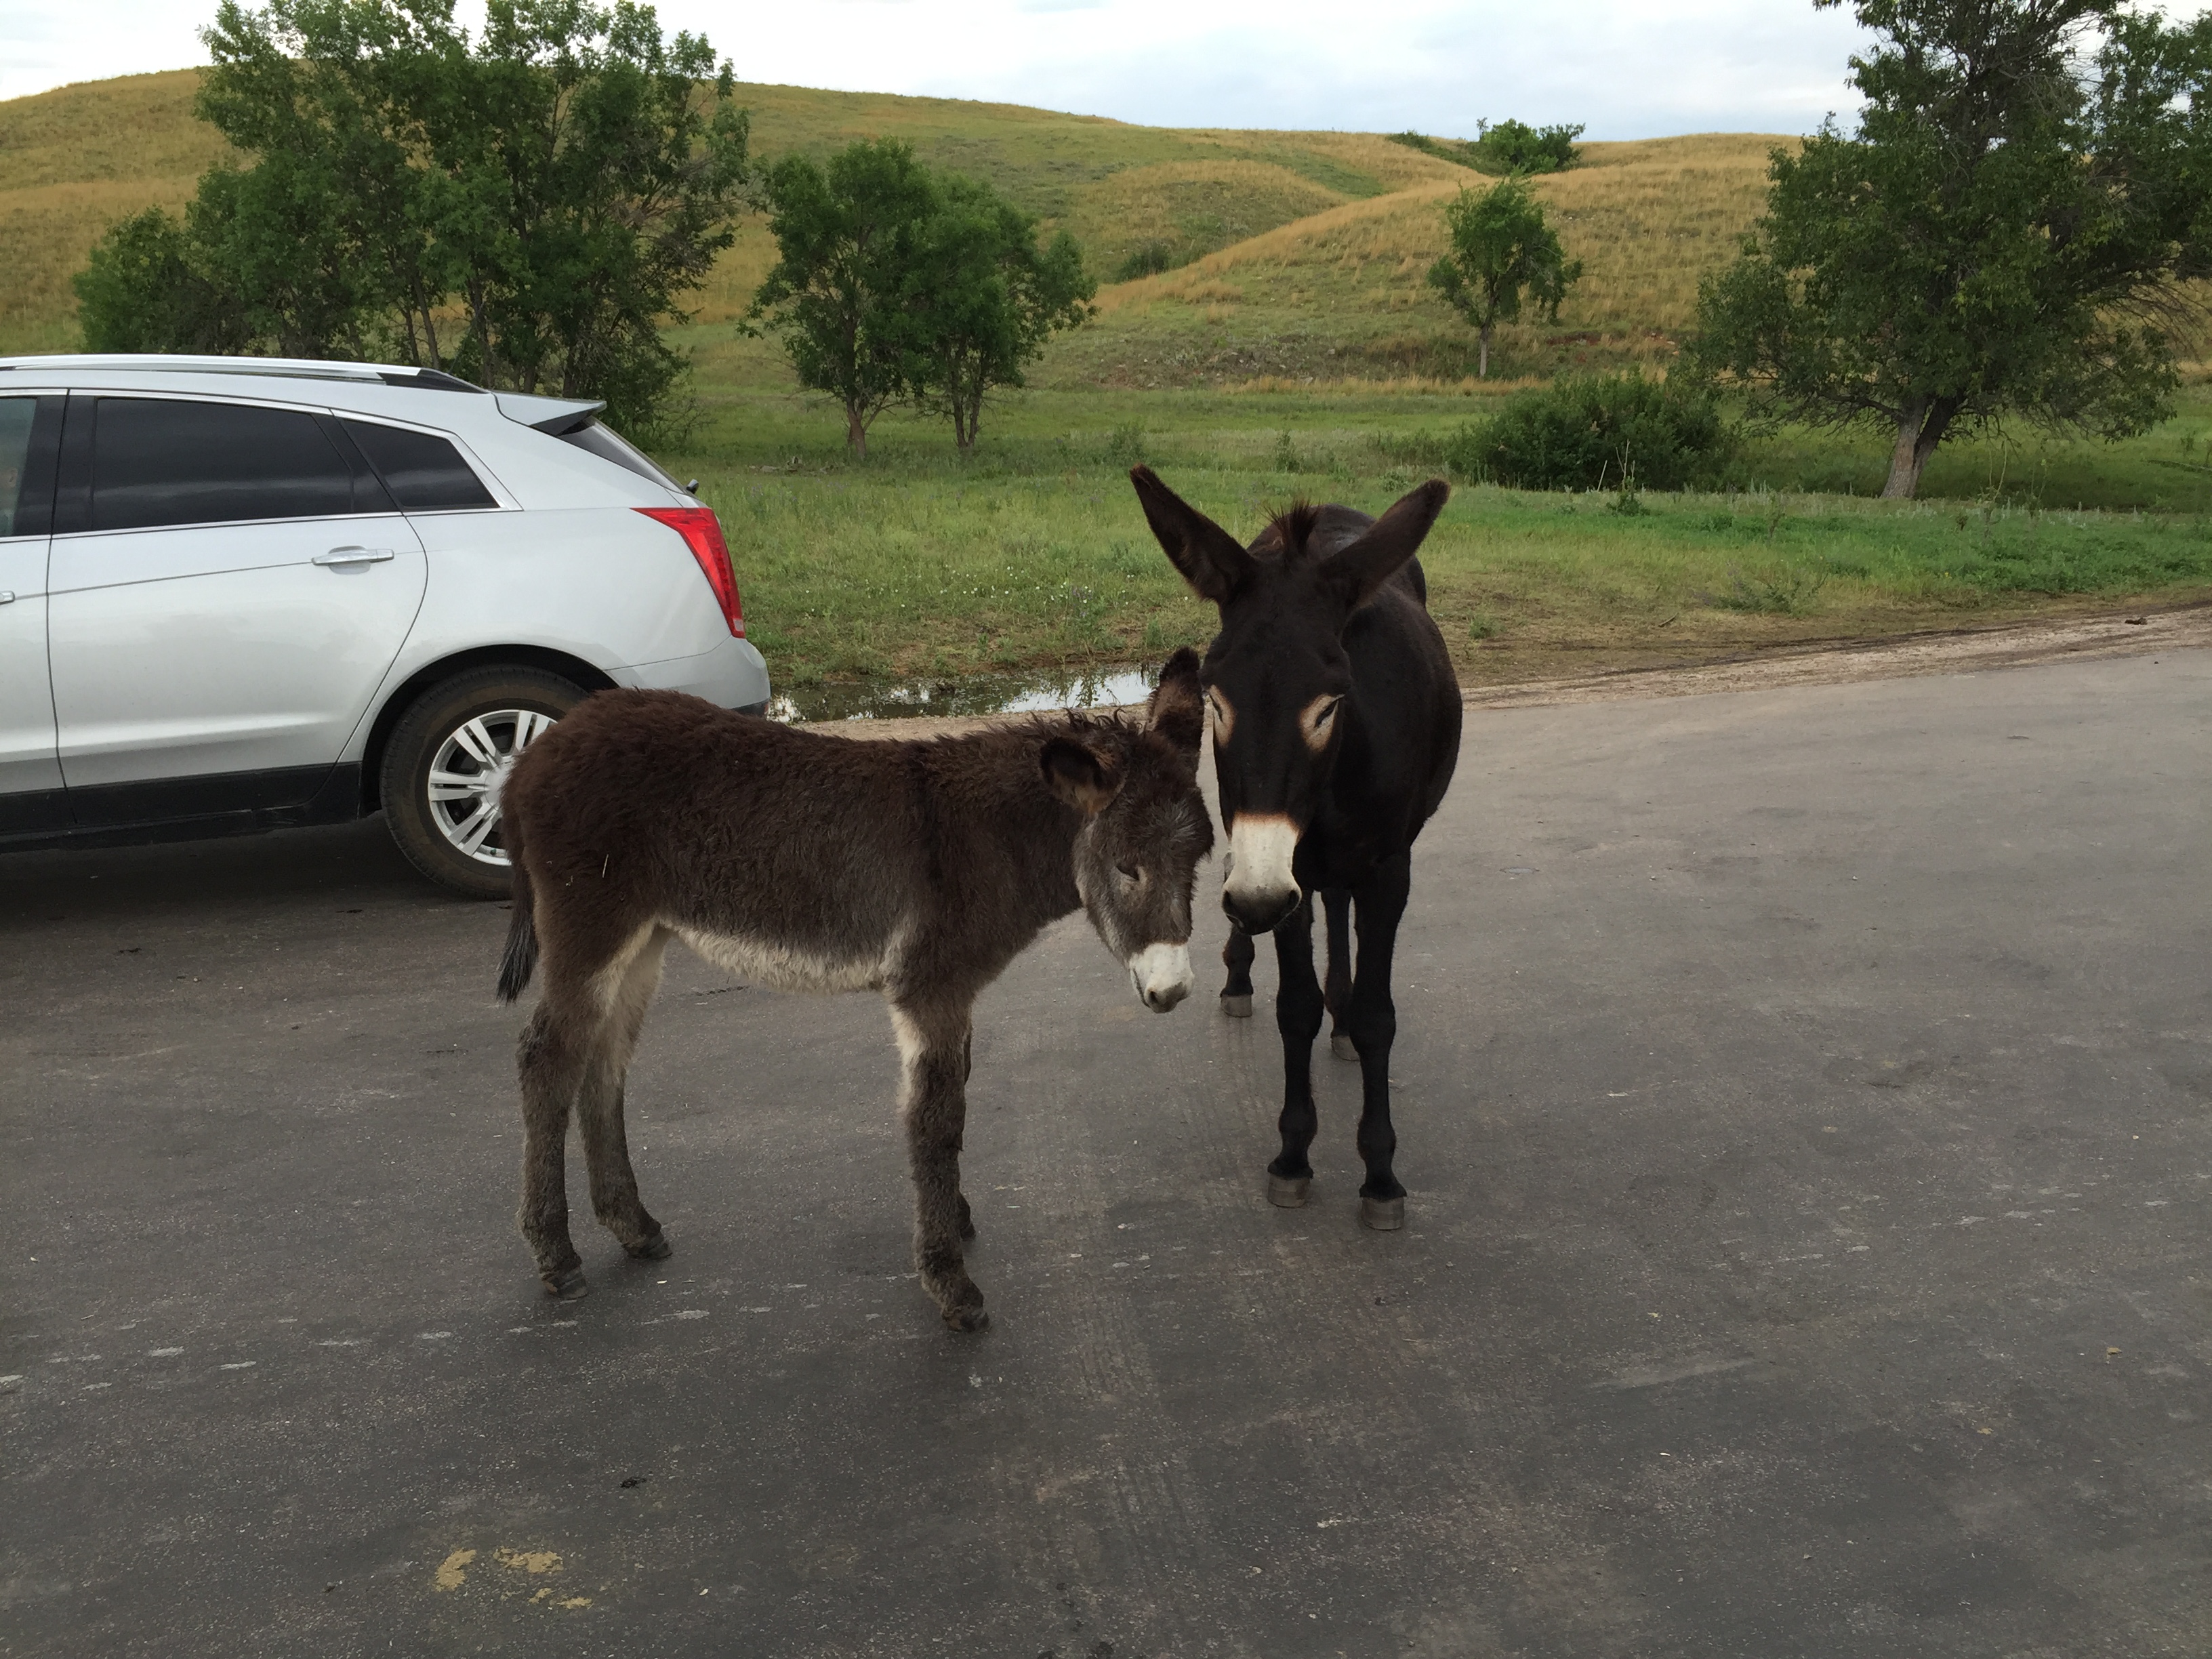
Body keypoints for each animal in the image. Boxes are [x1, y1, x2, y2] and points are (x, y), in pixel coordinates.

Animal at [493, 651, 1214, 1331]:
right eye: (1126, 868)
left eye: (1200, 858)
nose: (1173, 989)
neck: (987, 841)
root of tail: (529, 759)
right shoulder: (931, 988)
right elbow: (935, 1118)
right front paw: (951, 1284)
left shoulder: (953, 995)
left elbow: (956, 1095)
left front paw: (954, 1216)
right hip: (591, 927)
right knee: (547, 1060)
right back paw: (556, 1254)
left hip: (643, 941)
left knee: (603, 1061)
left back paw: (632, 1226)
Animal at [1129, 470, 1460, 1229]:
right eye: (1216, 700)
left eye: (1330, 704)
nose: (1254, 902)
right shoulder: (1287, 870)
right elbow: (1295, 1009)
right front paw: (1293, 1157)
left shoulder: (1388, 870)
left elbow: (1377, 1016)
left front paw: (1380, 1174)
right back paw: (1241, 977)